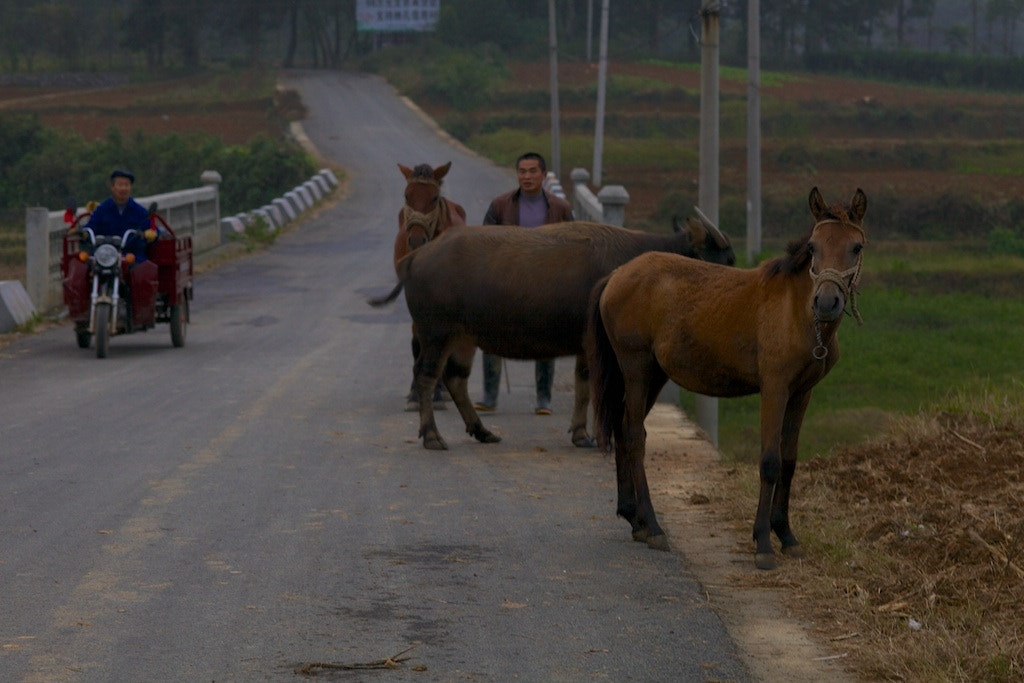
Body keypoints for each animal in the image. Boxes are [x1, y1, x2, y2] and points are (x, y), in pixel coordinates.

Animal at [376, 218, 737, 448]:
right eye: (720, 257)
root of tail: (415, 257)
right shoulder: (596, 345)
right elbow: (592, 387)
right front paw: (590, 435)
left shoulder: (586, 346)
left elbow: (583, 386)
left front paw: (580, 433)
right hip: (435, 334)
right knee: (426, 377)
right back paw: (432, 436)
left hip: (463, 338)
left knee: (455, 378)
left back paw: (482, 431)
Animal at [395, 162, 468, 409]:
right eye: (407, 195)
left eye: (434, 198)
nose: (416, 240)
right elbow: (418, 337)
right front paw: (416, 392)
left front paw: (435, 391)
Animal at [589, 187, 868, 573]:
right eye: (813, 246)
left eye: (856, 246)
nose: (827, 302)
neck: (795, 310)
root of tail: (616, 275)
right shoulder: (774, 389)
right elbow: (770, 461)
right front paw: (763, 543)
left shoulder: (802, 394)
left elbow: (789, 460)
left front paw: (787, 536)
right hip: (636, 368)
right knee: (633, 436)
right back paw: (654, 526)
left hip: (654, 375)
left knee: (622, 428)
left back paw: (635, 520)